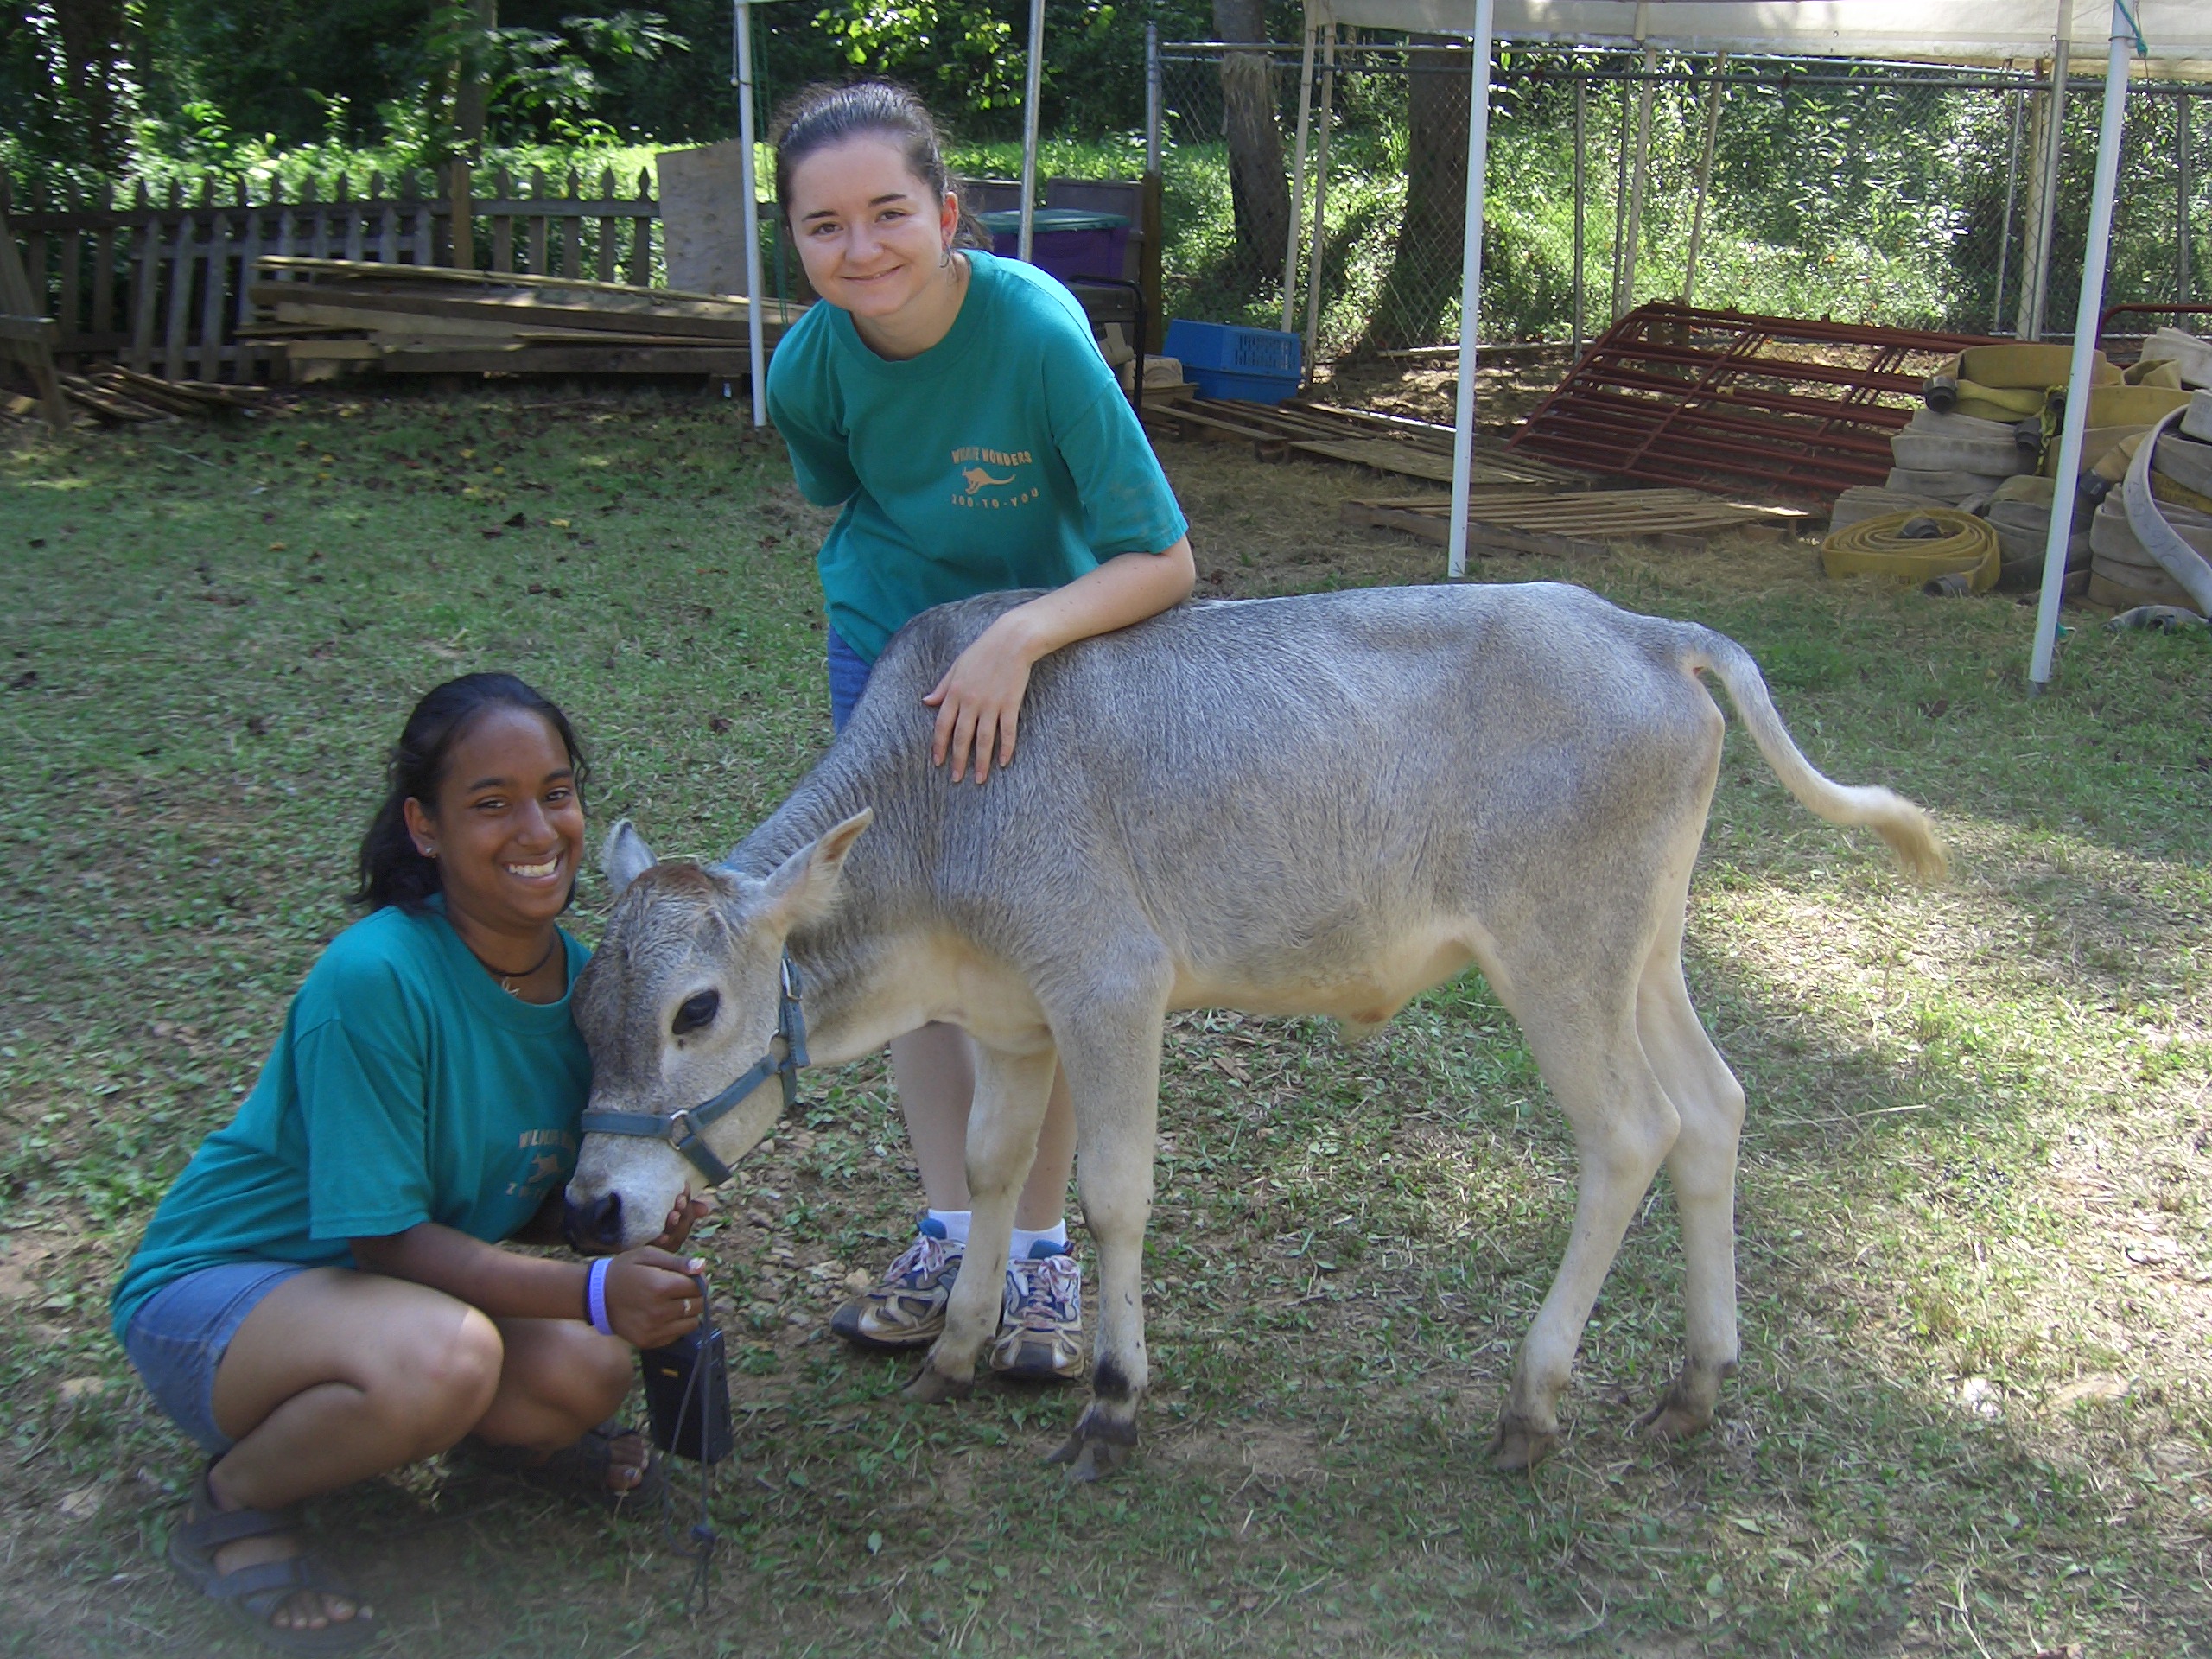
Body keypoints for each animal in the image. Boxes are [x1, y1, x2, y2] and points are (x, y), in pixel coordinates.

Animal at [564, 582, 1941, 1479]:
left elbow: (1114, 1193)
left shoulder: (1110, 986)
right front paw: (954, 1351)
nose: (587, 1205)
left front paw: (1112, 1404)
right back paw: (1696, 1384)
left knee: (1631, 1134)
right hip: (1638, 951)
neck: (936, 818)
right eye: (582, 1005)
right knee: (1712, 1109)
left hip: (1558, 956)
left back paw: (1533, 1400)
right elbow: (994, 1166)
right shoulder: (1014, 1019)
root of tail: (1646, 629)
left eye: (697, 1009)